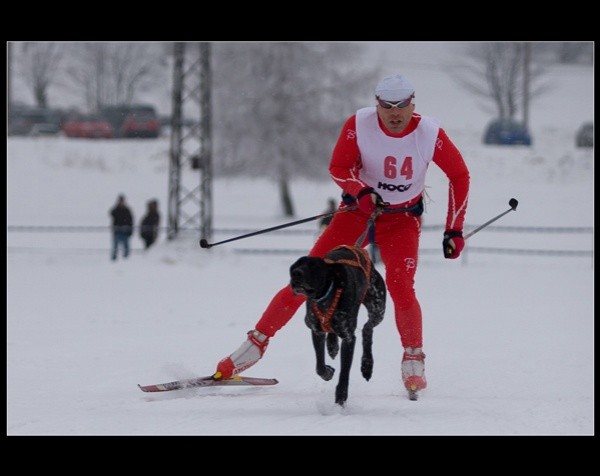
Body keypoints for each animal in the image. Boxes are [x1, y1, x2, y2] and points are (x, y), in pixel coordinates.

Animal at [290, 245, 384, 406]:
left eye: (314, 266)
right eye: (297, 265)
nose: (296, 273)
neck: (326, 298)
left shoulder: (348, 338)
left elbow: (344, 372)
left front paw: (341, 396)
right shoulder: (317, 331)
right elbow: (319, 366)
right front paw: (328, 373)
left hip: (378, 308)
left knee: (367, 329)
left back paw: (366, 364)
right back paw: (332, 346)